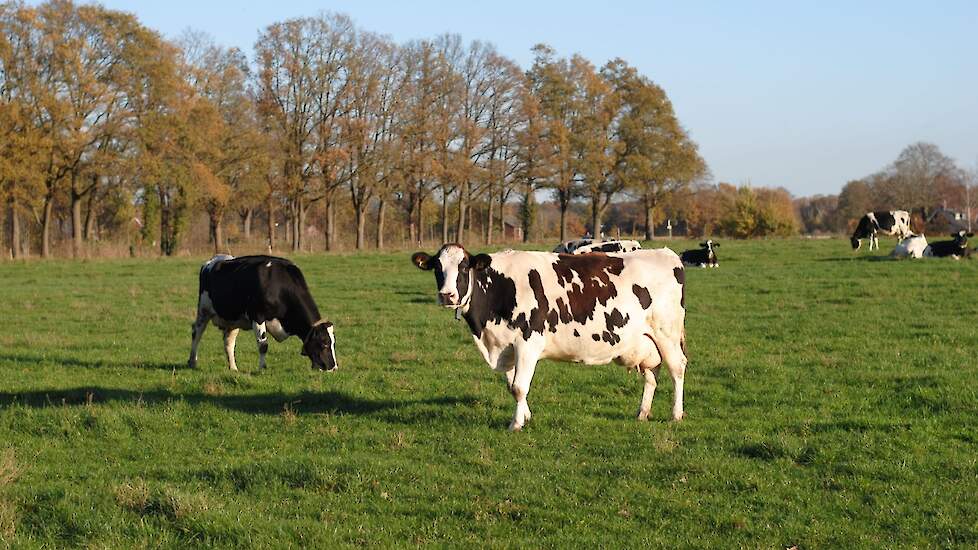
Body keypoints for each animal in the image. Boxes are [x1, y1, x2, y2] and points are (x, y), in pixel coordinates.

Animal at [189, 256, 338, 374]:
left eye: (333, 343)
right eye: (324, 342)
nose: (333, 367)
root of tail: (212, 261)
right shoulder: (258, 316)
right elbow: (263, 345)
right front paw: (262, 369)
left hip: (233, 320)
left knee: (229, 342)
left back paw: (233, 368)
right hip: (203, 310)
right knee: (197, 333)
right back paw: (192, 362)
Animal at [410, 245, 688, 432]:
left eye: (464, 267)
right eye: (437, 268)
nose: (447, 295)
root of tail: (666, 253)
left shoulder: (528, 343)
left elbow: (520, 386)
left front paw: (516, 424)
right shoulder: (506, 347)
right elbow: (512, 386)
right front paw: (526, 416)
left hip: (667, 334)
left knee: (677, 368)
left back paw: (676, 414)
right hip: (646, 342)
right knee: (651, 376)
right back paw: (642, 413)